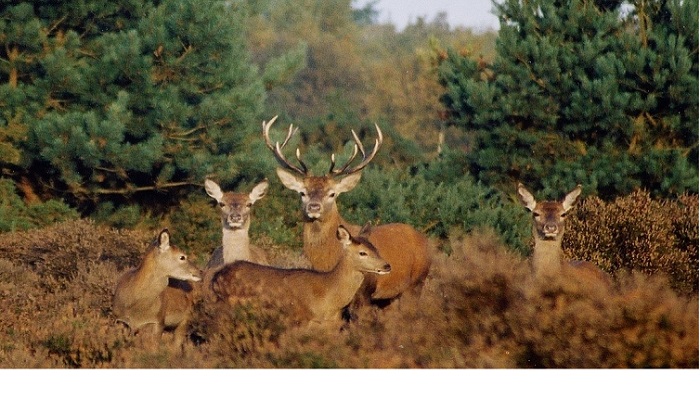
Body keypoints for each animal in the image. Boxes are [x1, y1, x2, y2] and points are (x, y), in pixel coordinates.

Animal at [262, 116, 432, 311]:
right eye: (302, 192)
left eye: (332, 193)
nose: (314, 207)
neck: (328, 260)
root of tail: (425, 240)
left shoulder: (366, 291)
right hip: (389, 297)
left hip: (417, 282)